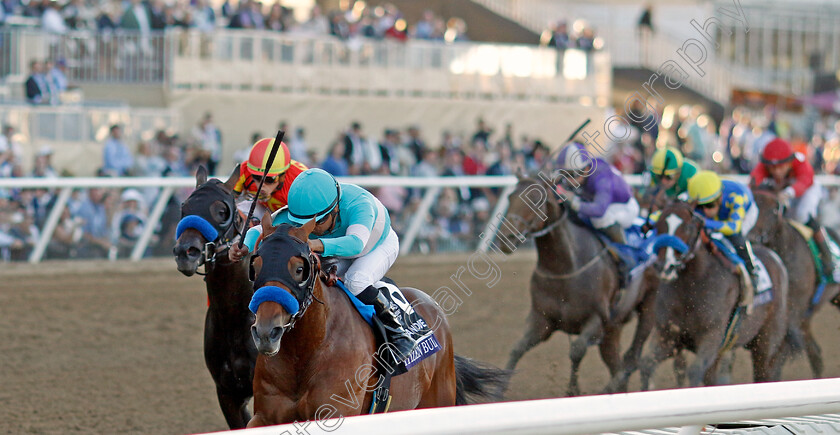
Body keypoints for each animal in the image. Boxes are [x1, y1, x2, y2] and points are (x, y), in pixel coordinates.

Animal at [246, 218, 508, 426]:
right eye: (255, 267)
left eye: (299, 269)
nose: (267, 332)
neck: (307, 349)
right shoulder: (264, 417)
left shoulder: (335, 412)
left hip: (437, 401)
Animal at [496, 175, 660, 396]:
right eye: (510, 196)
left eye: (535, 199)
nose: (506, 237)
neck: (564, 269)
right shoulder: (542, 320)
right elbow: (517, 348)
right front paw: (499, 389)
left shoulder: (597, 319)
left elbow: (577, 350)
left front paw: (572, 390)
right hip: (613, 329)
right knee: (615, 363)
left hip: (649, 306)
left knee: (632, 357)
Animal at [640, 201, 792, 388]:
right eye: (658, 226)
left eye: (688, 227)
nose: (665, 267)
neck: (692, 287)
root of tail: (776, 258)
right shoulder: (668, 335)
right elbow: (646, 365)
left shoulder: (711, 335)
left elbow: (695, 371)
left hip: (766, 343)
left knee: (763, 373)